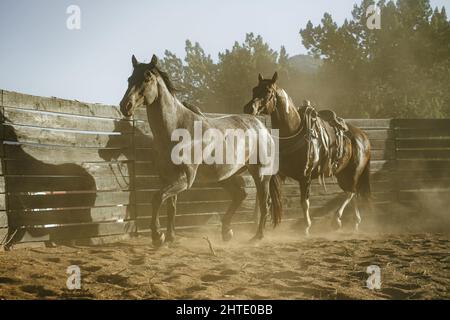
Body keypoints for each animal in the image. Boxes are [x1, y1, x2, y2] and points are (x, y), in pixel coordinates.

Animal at [119, 55, 282, 246]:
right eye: (129, 79)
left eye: (147, 79)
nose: (125, 106)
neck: (177, 128)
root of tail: (261, 127)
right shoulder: (168, 178)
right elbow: (171, 206)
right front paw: (170, 237)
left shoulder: (184, 179)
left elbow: (157, 198)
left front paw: (157, 236)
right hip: (226, 176)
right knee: (240, 195)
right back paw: (227, 232)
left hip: (261, 175)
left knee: (264, 204)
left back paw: (257, 237)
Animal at [244, 72, 370, 235]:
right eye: (254, 89)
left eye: (268, 91)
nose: (248, 108)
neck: (293, 131)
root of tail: (363, 136)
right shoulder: (281, 174)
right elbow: (269, 199)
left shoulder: (306, 177)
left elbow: (305, 202)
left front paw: (306, 227)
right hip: (342, 173)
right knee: (352, 192)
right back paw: (355, 222)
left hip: (354, 172)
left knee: (351, 192)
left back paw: (337, 219)